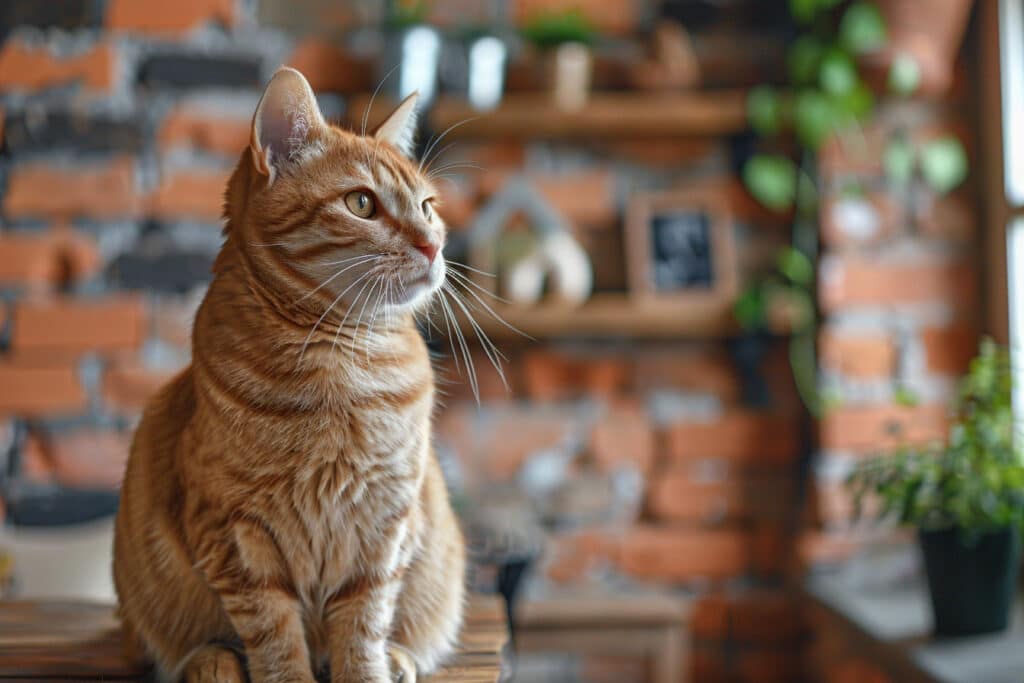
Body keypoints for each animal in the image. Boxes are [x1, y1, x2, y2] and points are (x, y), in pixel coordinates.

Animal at [113, 68, 464, 683]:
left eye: (426, 206)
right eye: (361, 203)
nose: (434, 244)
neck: (341, 369)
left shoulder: (384, 526)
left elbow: (364, 626)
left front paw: (370, 668)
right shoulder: (234, 535)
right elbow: (274, 636)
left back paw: (398, 659)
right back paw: (210, 663)